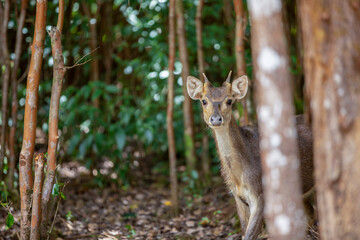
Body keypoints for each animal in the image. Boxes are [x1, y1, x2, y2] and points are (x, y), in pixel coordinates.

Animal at [187, 72, 314, 240]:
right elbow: (243, 232)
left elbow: (249, 235)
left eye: (229, 100)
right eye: (204, 100)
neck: (239, 176)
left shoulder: (260, 194)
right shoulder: (237, 197)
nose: (215, 119)